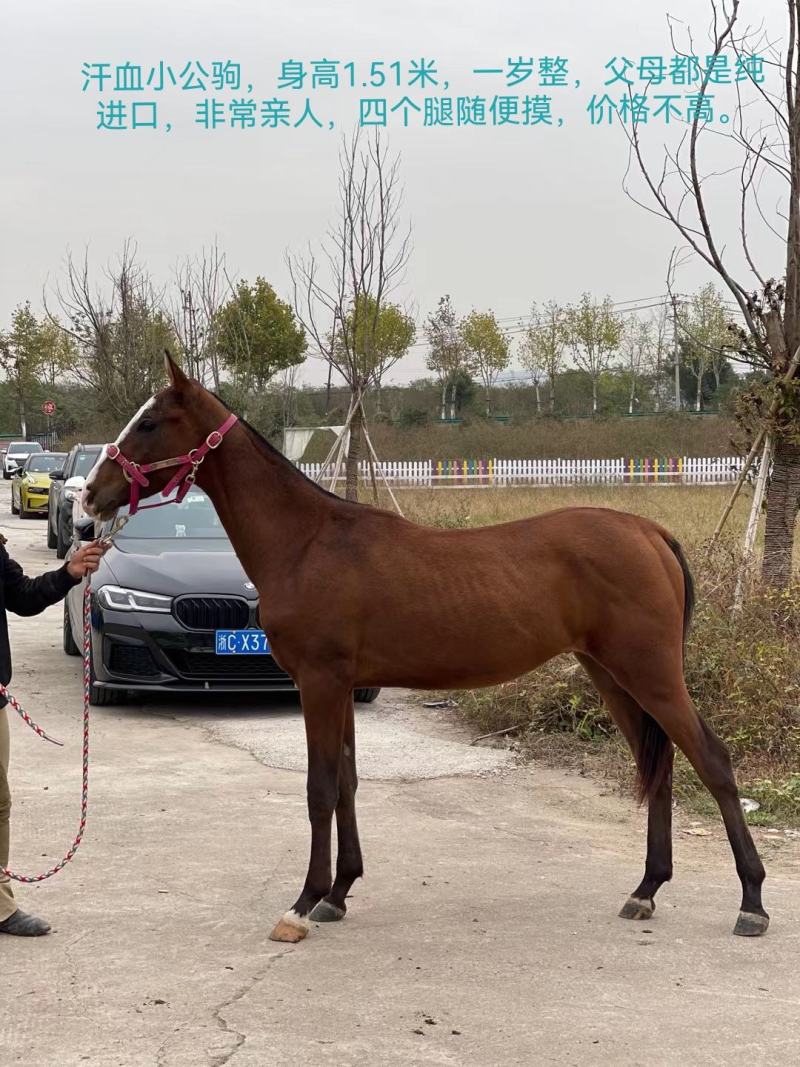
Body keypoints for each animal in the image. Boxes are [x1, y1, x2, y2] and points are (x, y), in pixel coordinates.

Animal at [82, 353, 768, 943]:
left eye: (149, 422)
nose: (89, 494)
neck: (306, 542)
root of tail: (649, 531)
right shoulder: (341, 688)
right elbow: (349, 782)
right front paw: (338, 894)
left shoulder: (320, 683)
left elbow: (320, 788)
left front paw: (302, 903)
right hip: (610, 675)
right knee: (661, 767)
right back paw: (646, 890)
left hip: (649, 673)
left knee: (712, 760)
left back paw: (752, 903)